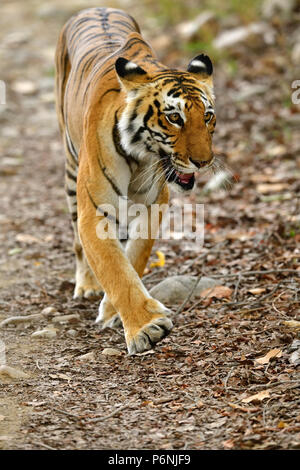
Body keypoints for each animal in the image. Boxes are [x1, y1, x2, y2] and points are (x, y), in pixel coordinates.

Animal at [55, 7, 216, 354]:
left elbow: (134, 257)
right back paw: (86, 285)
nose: (203, 161)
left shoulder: (155, 203)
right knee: (77, 243)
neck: (141, 156)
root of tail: (94, 7)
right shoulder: (94, 212)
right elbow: (113, 267)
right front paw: (146, 327)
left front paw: (114, 312)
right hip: (71, 172)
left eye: (208, 116)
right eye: (174, 117)